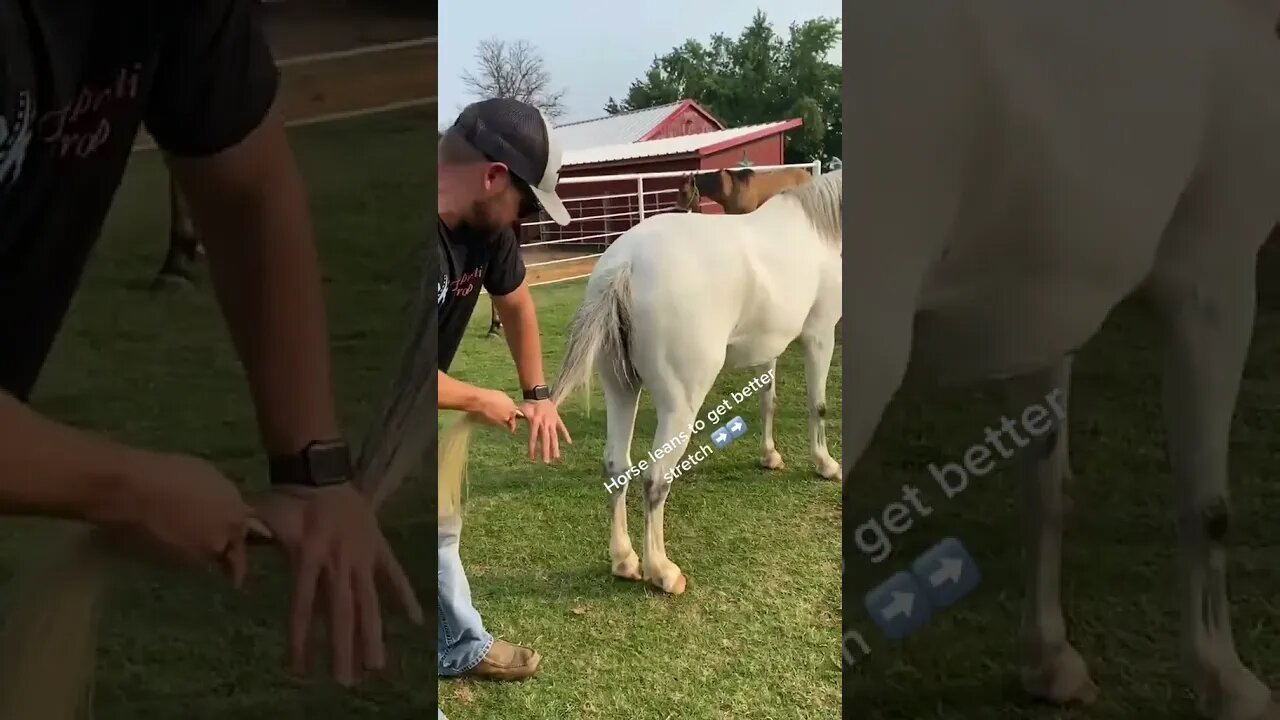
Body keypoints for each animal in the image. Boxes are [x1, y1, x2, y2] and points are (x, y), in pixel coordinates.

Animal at [550, 169, 839, 594]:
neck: (820, 233)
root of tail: (625, 265)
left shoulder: (769, 346)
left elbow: (767, 399)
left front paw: (770, 456)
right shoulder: (820, 335)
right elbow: (817, 405)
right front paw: (826, 464)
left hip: (621, 390)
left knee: (616, 466)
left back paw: (624, 560)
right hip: (680, 404)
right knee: (655, 479)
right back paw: (662, 571)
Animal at [849, 1, 1280, 717]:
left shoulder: (1042, 301)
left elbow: (1045, 487)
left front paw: (1050, 661)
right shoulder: (1214, 277)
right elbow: (1208, 506)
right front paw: (1228, 682)